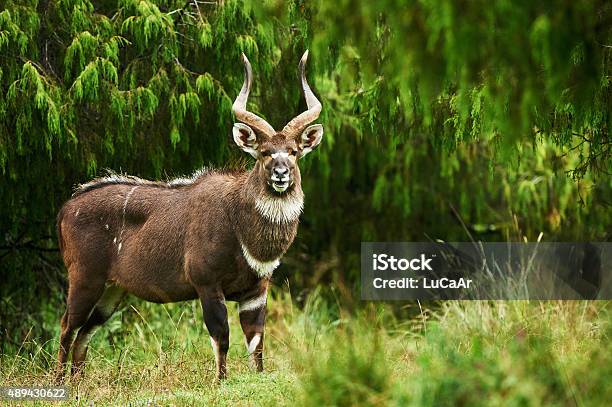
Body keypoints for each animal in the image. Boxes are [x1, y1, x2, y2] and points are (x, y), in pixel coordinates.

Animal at [56, 51, 326, 382]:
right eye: (264, 152)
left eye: (294, 151)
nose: (280, 174)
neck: (240, 225)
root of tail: (66, 208)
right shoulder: (206, 283)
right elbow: (221, 336)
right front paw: (221, 382)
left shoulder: (256, 291)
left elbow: (257, 344)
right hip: (84, 278)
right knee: (68, 327)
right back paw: (60, 383)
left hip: (112, 290)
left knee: (85, 333)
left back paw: (78, 382)